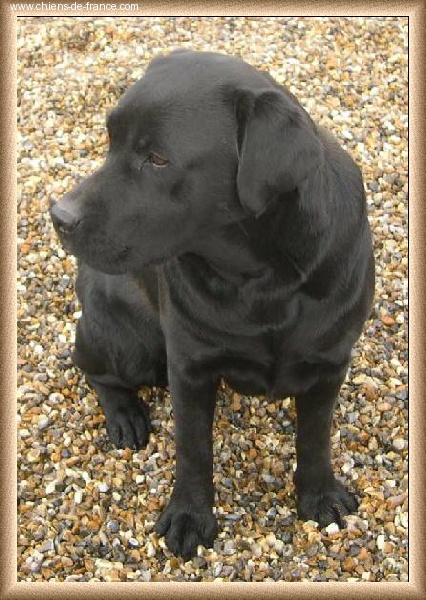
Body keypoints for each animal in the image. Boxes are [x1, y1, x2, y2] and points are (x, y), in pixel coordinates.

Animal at [51, 49, 374, 560]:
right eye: (110, 140)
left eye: (158, 159)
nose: (58, 217)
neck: (263, 280)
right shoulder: (189, 365)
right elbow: (193, 448)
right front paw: (189, 516)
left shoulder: (329, 362)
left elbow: (315, 436)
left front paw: (319, 495)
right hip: (132, 343)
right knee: (89, 364)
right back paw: (124, 416)